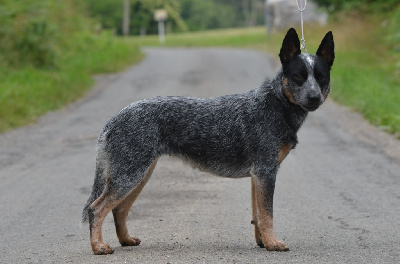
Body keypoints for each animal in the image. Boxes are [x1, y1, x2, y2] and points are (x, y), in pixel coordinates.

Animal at [82, 27, 334, 255]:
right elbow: (267, 214)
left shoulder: (258, 175)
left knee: (119, 209)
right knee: (96, 209)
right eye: (299, 76)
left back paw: (126, 240)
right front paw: (273, 243)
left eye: (321, 77)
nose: (314, 97)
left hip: (138, 175)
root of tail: (113, 120)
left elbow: (258, 215)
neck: (275, 105)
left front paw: (264, 242)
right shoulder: (265, 171)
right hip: (130, 175)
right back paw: (99, 247)